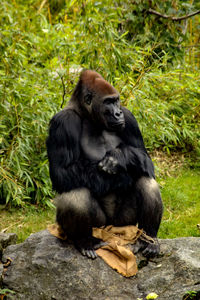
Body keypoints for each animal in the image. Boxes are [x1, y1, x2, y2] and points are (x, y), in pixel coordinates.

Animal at [46, 69, 162, 258]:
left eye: (116, 100)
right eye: (108, 102)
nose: (118, 113)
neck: (87, 115)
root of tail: (110, 229)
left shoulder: (129, 118)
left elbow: (145, 159)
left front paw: (120, 157)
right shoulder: (62, 122)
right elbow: (62, 172)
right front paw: (121, 175)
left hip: (124, 223)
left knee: (145, 179)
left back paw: (148, 239)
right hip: (99, 226)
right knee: (75, 192)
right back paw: (85, 241)